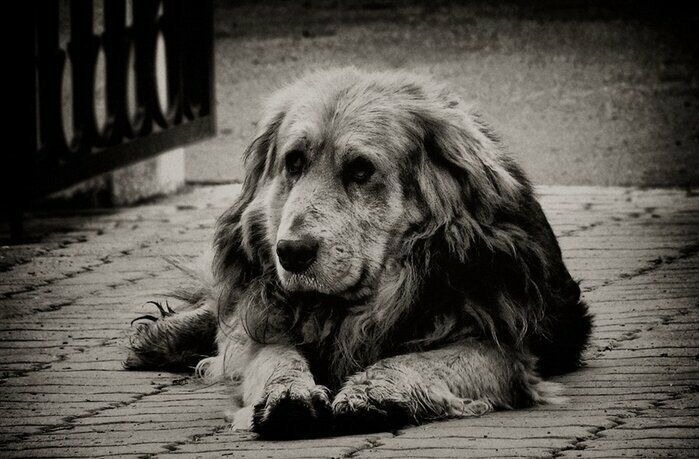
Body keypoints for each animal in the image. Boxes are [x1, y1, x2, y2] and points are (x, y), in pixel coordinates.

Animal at [124, 67, 592, 438]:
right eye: (294, 163)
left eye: (361, 170)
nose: (291, 252)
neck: (356, 308)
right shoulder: (268, 324)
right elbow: (271, 353)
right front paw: (285, 395)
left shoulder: (504, 348)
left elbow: (415, 361)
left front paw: (373, 393)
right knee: (225, 307)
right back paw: (159, 336)